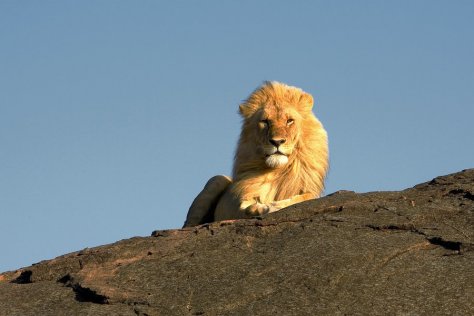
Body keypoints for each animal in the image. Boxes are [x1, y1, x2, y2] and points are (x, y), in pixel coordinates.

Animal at [183, 81, 328, 227]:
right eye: (265, 122)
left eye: (289, 121)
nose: (277, 141)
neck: (277, 171)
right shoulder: (237, 201)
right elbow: (246, 206)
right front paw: (261, 207)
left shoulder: (309, 191)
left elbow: (301, 199)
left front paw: (269, 206)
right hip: (216, 180)